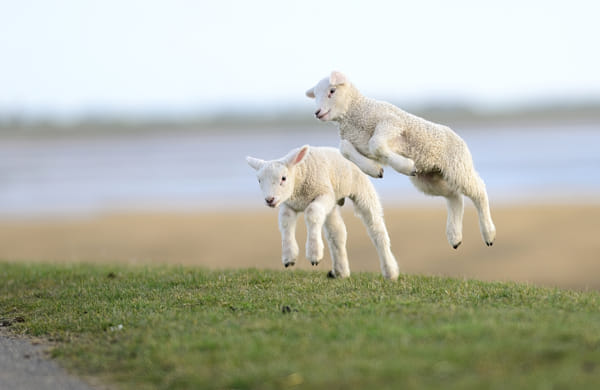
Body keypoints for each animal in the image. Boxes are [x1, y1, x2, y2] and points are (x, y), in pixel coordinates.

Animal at [246, 145, 400, 278]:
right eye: (259, 180)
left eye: (283, 178)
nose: (269, 199)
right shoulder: (289, 204)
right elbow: (285, 221)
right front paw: (289, 257)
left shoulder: (323, 193)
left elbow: (312, 212)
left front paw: (314, 254)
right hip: (332, 202)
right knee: (337, 233)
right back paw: (341, 271)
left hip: (361, 189)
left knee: (376, 229)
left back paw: (390, 271)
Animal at [308, 70, 494, 248]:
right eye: (315, 95)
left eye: (332, 91)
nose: (317, 113)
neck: (356, 112)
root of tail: (459, 138)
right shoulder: (358, 142)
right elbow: (345, 149)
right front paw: (375, 170)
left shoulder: (391, 123)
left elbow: (375, 143)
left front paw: (406, 166)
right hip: (429, 180)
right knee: (454, 196)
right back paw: (455, 237)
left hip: (457, 166)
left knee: (478, 190)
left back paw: (488, 233)